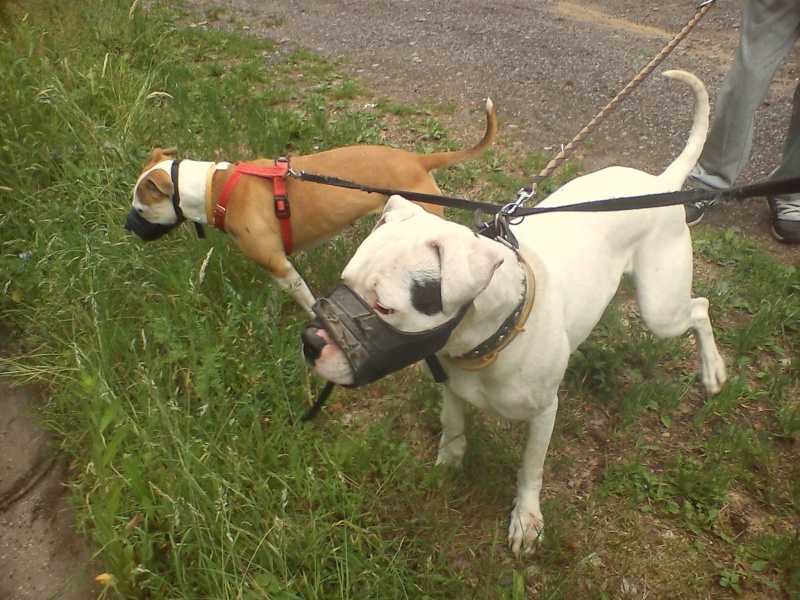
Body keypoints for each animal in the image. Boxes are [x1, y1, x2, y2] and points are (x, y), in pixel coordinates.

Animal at [126, 98, 494, 314]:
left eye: (141, 209)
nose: (128, 228)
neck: (213, 188)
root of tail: (418, 160)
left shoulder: (278, 264)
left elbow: (308, 302)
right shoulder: (279, 264)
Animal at [300, 71, 724, 556]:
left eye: (385, 307)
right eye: (345, 283)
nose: (310, 341)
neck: (488, 341)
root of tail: (662, 181)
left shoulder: (543, 413)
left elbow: (530, 469)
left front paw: (526, 519)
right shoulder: (449, 386)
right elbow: (452, 426)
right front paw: (447, 464)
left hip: (660, 309)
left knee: (699, 308)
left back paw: (713, 370)